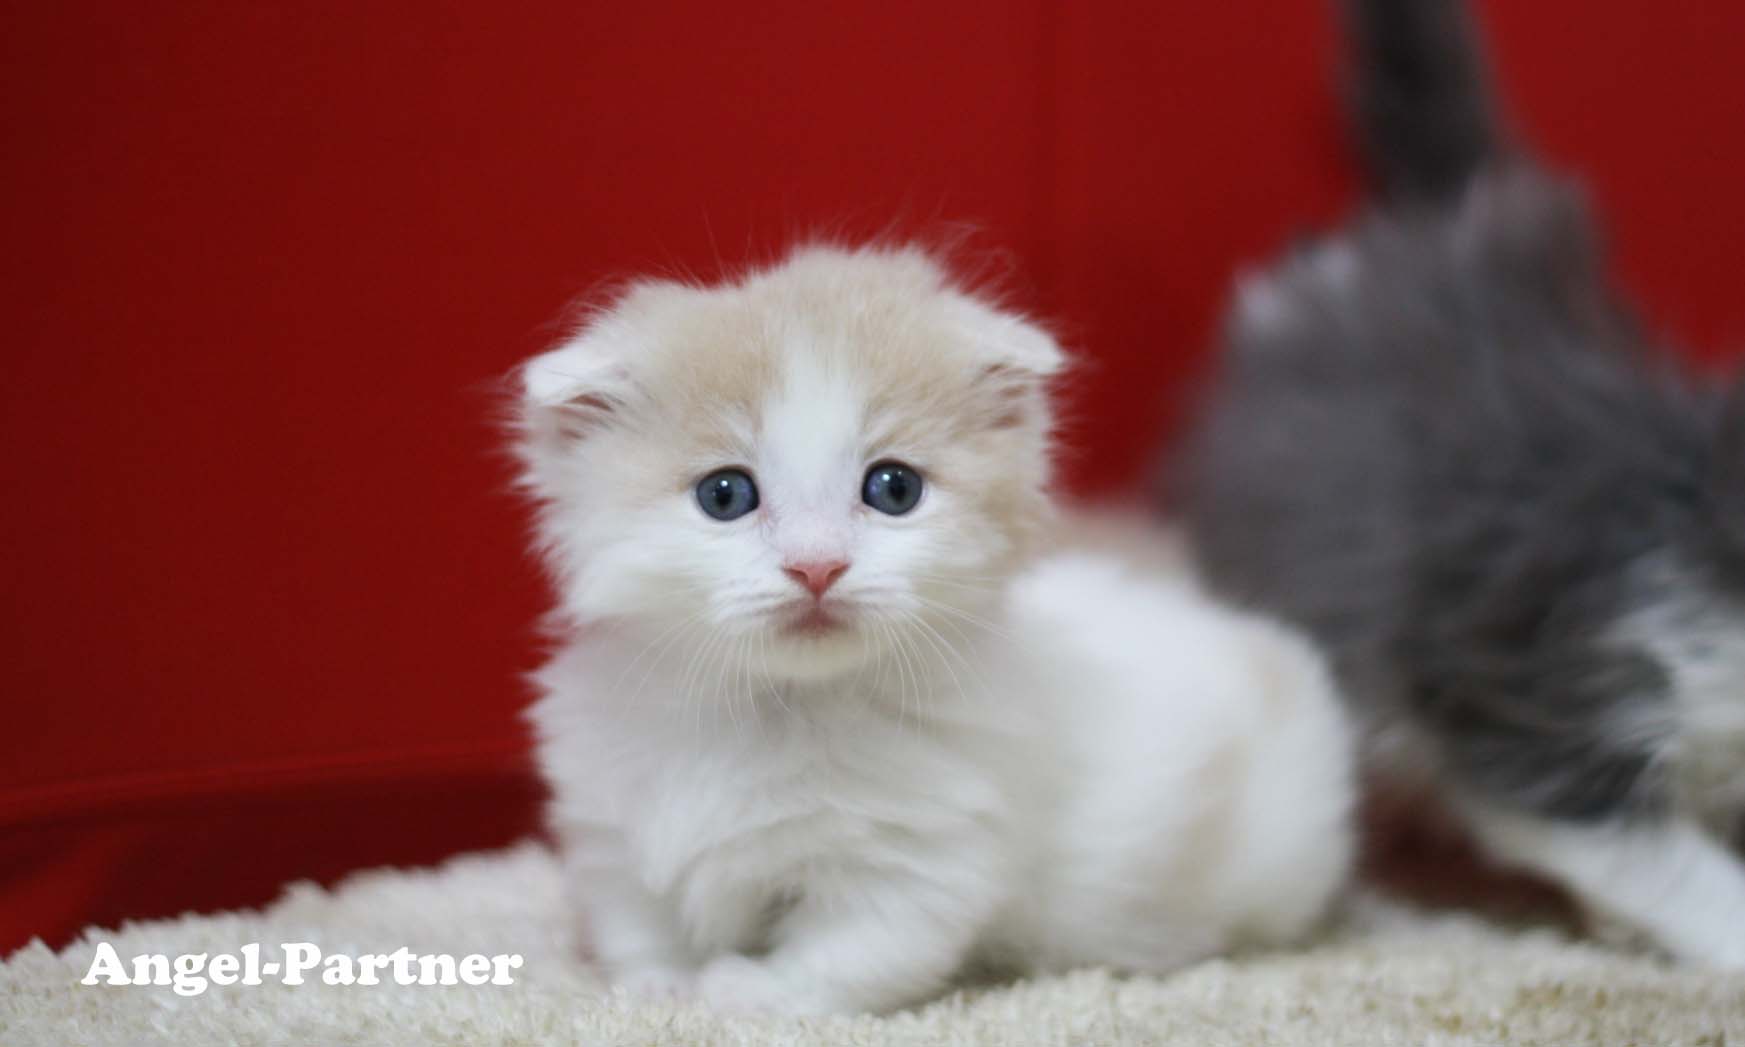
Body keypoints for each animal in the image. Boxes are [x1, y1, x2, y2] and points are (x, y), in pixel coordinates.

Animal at [509, 246, 1354, 1012]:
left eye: (893, 488)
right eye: (724, 495)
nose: (816, 566)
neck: (776, 706)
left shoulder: (916, 863)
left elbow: (847, 956)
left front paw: (742, 989)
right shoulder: (612, 820)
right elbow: (638, 922)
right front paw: (658, 988)